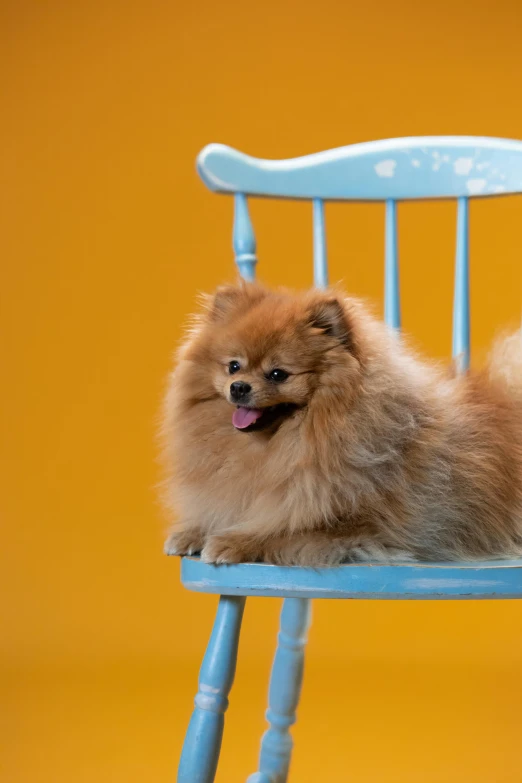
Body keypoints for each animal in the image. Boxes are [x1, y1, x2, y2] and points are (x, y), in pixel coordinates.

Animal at [160, 284, 520, 568]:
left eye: (278, 374)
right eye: (233, 366)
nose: (239, 387)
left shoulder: (361, 523)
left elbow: (283, 529)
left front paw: (231, 541)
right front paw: (192, 532)